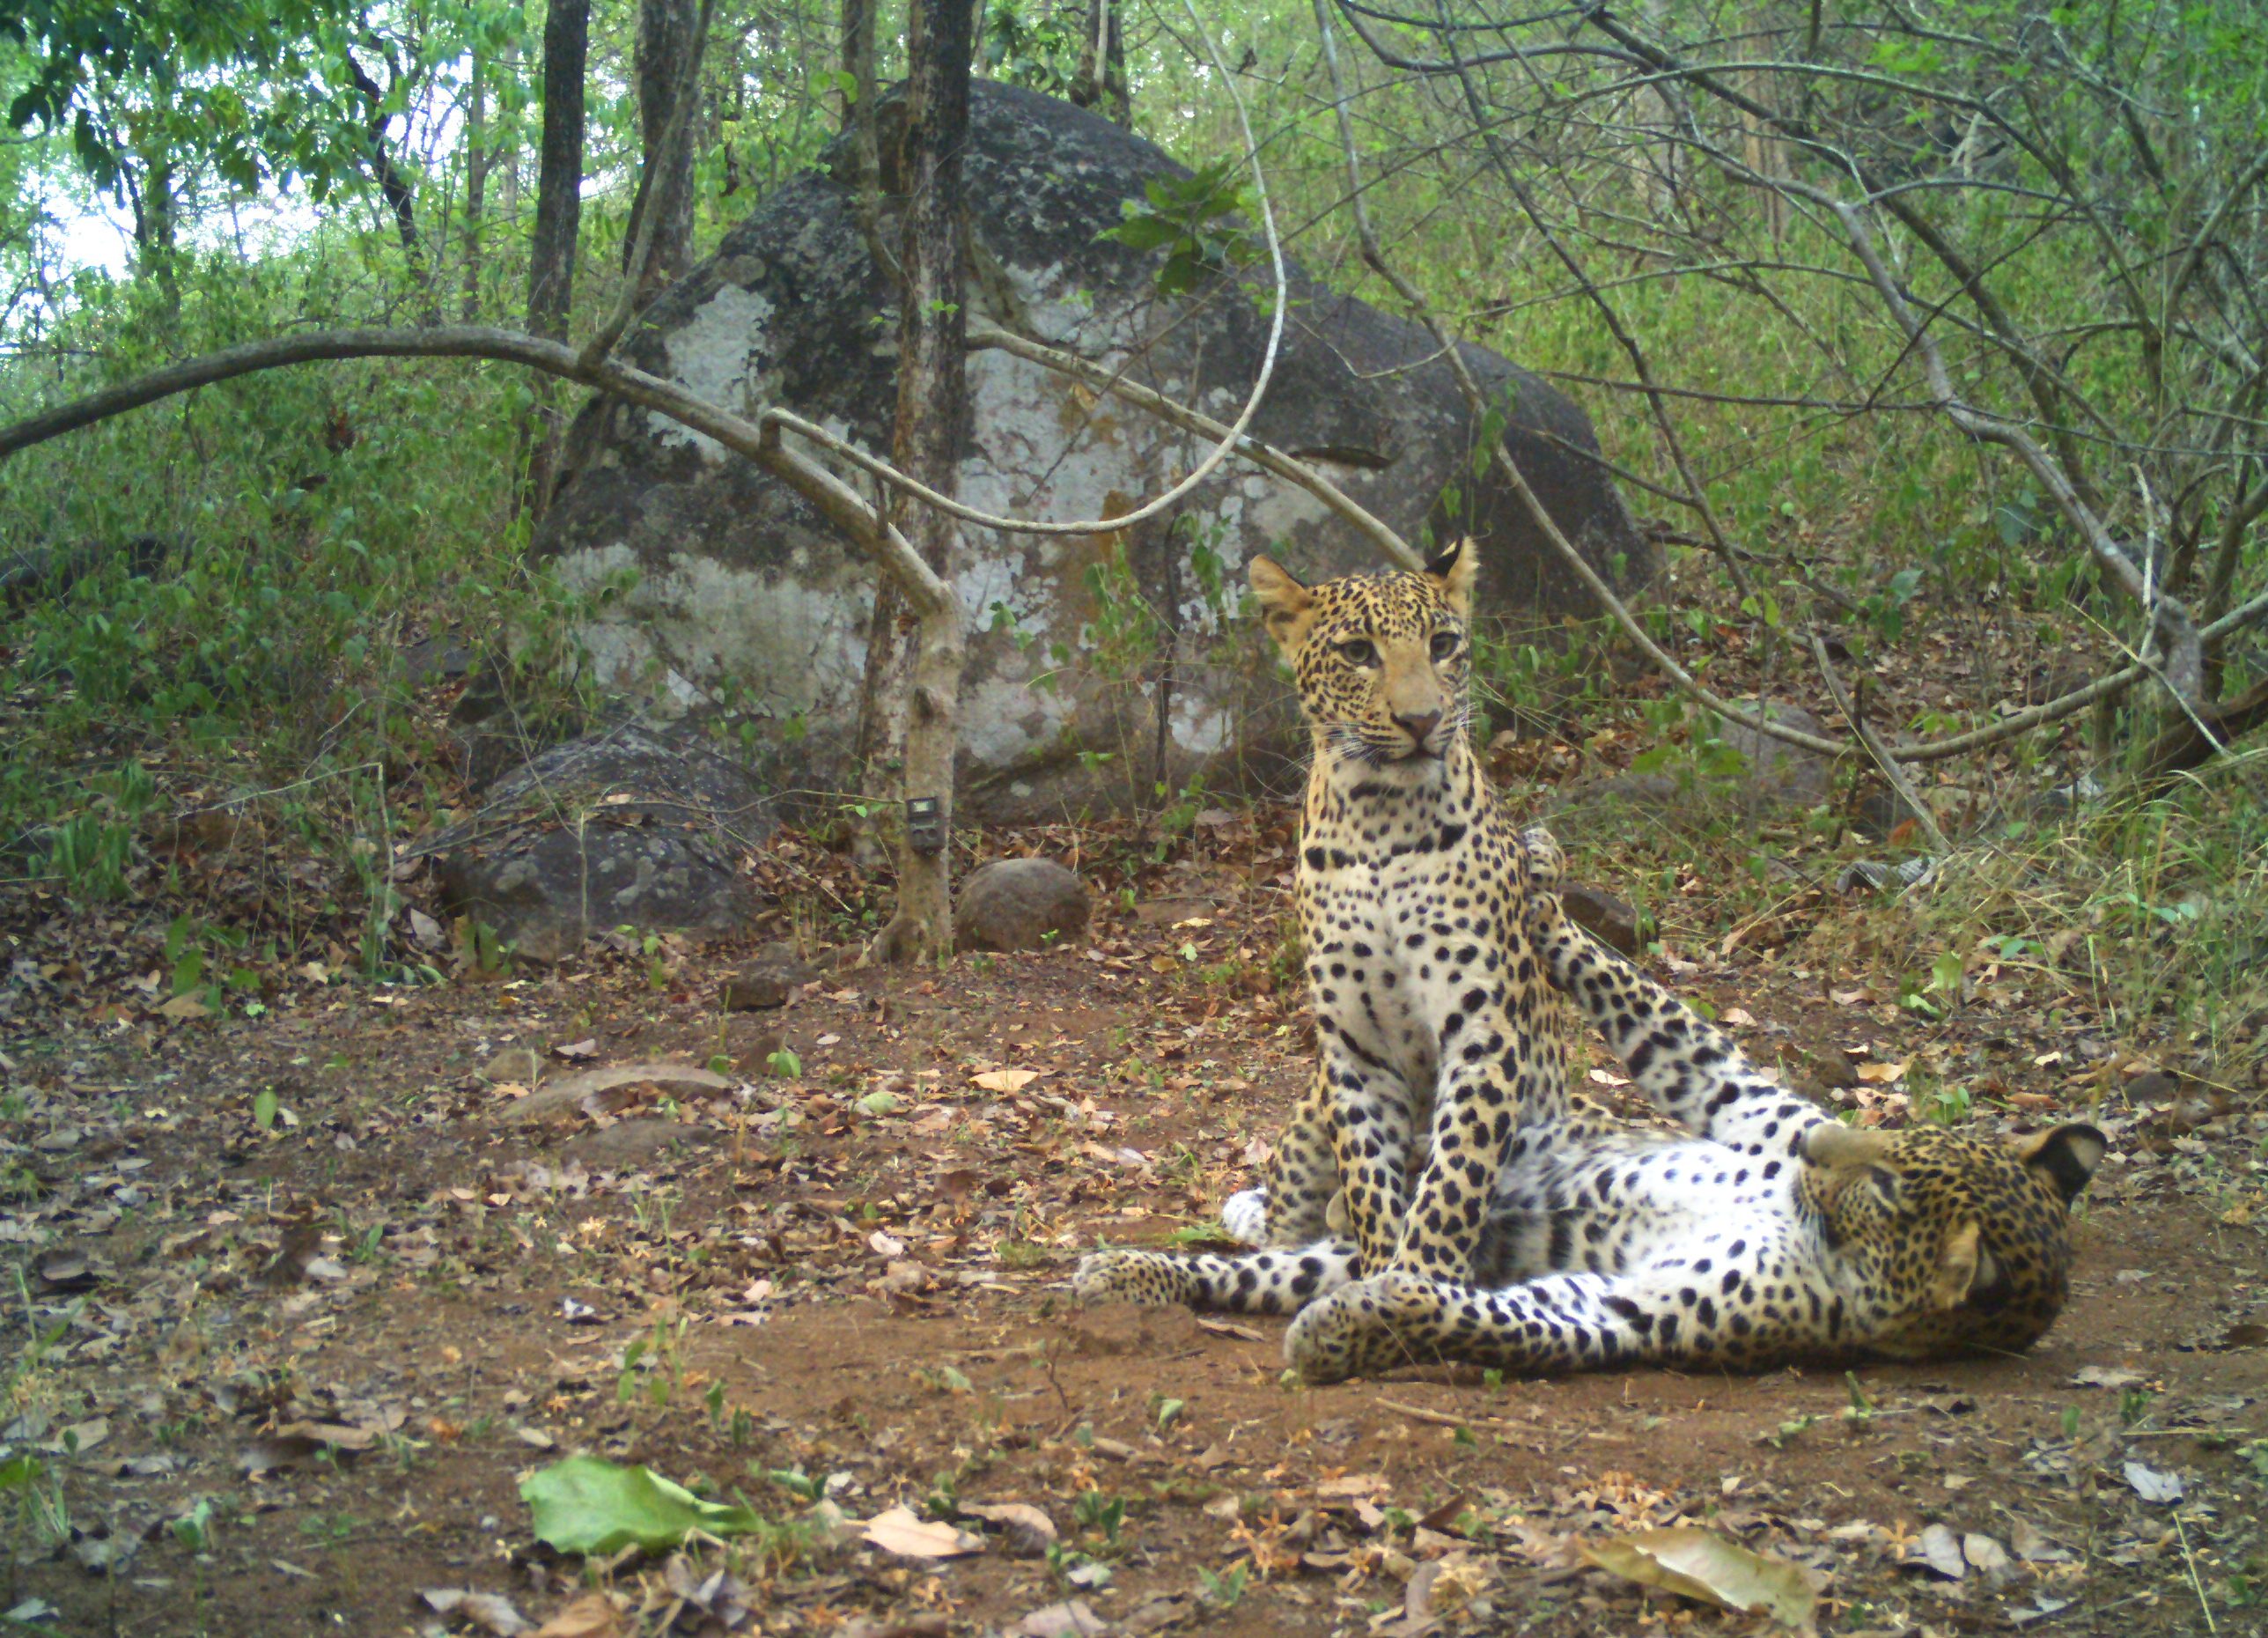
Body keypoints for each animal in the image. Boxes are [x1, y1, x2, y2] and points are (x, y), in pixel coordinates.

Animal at [1079, 830, 2104, 1379]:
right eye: (1897, 1143)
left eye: (1890, 1194)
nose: (1819, 1155)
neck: (1805, 1218)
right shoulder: (1752, 1107)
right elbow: (1643, 1001)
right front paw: (1532, 874)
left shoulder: (1626, 1308)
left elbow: (1474, 1316)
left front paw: (1348, 1331)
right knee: (1283, 1206)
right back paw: (1129, 1264)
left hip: (1368, 1223)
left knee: (1274, 1264)